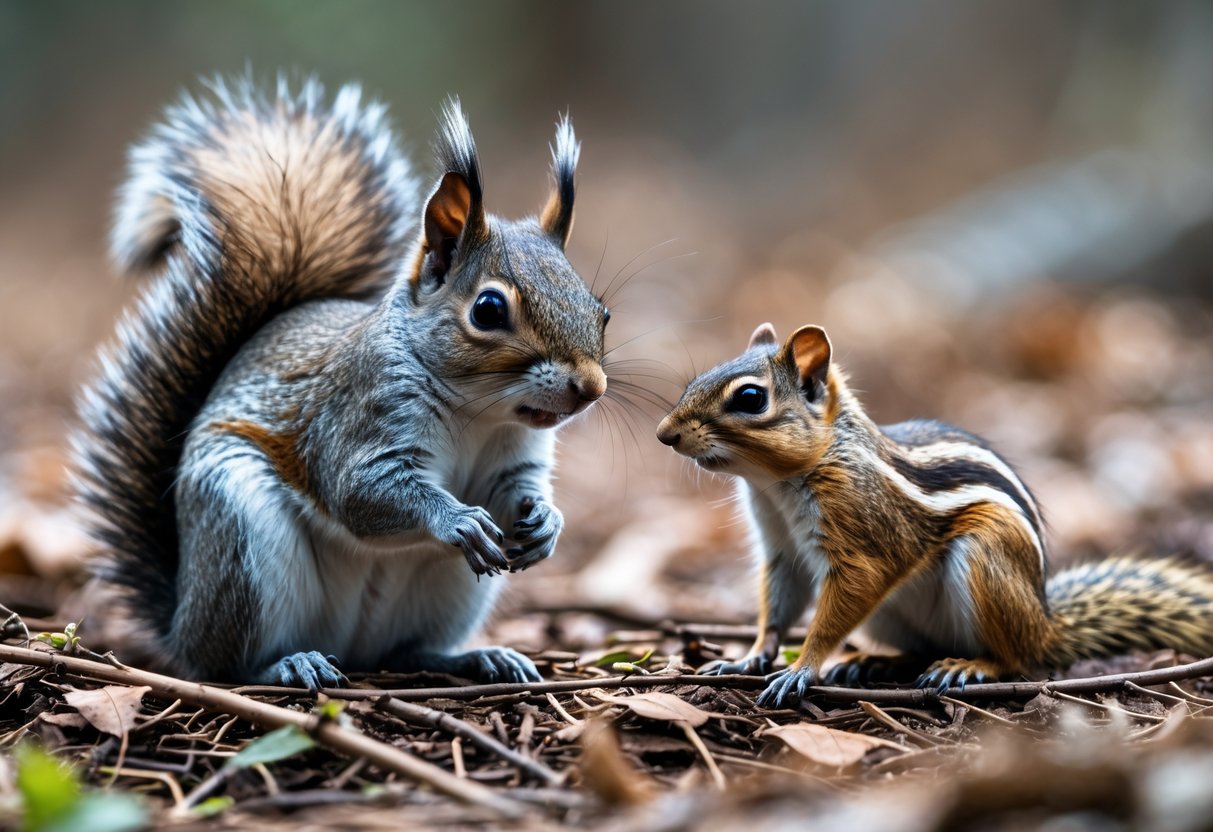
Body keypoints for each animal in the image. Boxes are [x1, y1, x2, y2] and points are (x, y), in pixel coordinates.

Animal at [72, 77, 609, 690]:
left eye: (601, 310)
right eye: (489, 309)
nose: (591, 387)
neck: (480, 413)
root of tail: (181, 618)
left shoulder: (512, 458)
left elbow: (515, 490)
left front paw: (547, 522)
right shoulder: (358, 413)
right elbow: (358, 490)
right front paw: (455, 518)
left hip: (442, 595)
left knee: (405, 652)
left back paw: (475, 658)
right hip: (239, 537)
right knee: (226, 663)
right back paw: (287, 663)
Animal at [657, 322, 1213, 707]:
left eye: (751, 398)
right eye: (696, 379)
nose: (666, 434)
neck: (775, 483)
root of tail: (1045, 623)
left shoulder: (863, 538)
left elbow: (842, 601)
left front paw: (804, 668)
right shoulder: (781, 550)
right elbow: (778, 607)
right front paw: (748, 656)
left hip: (986, 562)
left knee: (1018, 659)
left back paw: (970, 667)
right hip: (892, 614)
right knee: (925, 648)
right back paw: (875, 663)